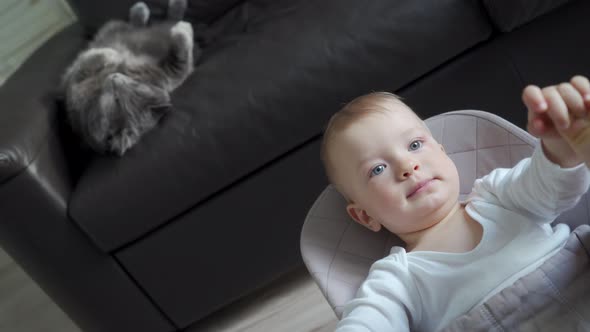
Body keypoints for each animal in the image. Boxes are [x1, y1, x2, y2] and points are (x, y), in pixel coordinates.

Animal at [62, 0, 197, 156]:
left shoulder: (167, 76)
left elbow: (181, 63)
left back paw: (153, 9)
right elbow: (90, 61)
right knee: (158, 22)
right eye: (117, 99)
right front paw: (113, 54)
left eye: (135, 86)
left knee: (150, 23)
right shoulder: (73, 85)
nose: (114, 77)